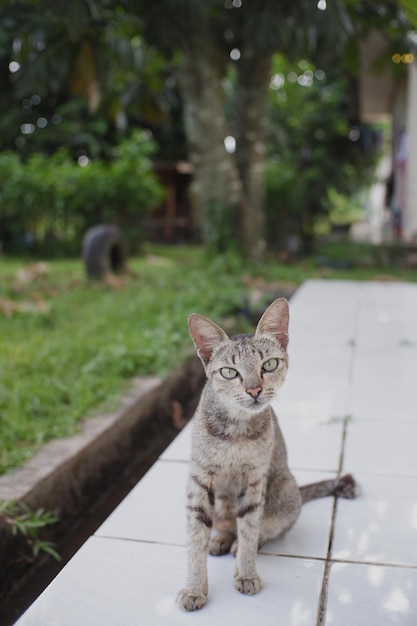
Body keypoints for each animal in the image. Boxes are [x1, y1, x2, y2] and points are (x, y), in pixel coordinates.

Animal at [177, 298, 356, 608]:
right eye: (229, 372)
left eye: (269, 365)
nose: (254, 390)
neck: (236, 432)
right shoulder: (200, 480)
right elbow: (195, 538)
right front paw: (194, 588)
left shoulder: (254, 481)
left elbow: (250, 530)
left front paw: (246, 573)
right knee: (223, 524)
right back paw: (220, 539)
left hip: (285, 492)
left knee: (266, 530)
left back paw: (236, 545)